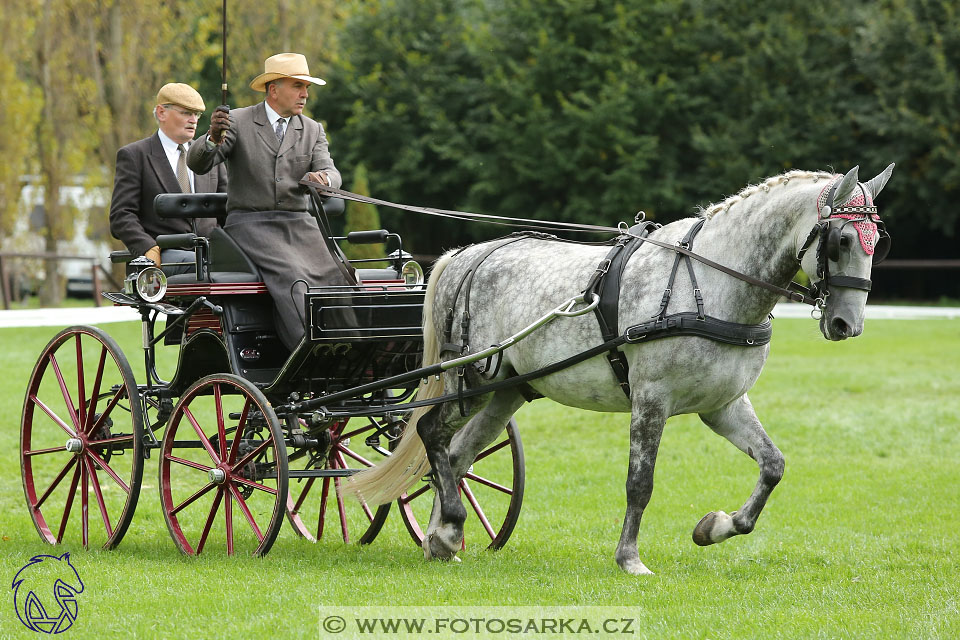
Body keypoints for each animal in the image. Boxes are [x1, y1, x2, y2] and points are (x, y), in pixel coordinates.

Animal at [350, 165, 892, 576]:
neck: (709, 281)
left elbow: (773, 465)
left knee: (456, 454)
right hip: (471, 381)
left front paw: (714, 527)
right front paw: (629, 558)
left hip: (505, 390)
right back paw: (449, 524)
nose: (848, 324)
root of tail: (468, 255)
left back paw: (442, 537)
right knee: (431, 434)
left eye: (877, 242)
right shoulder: (652, 399)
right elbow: (640, 483)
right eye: (843, 239)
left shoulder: (722, 405)